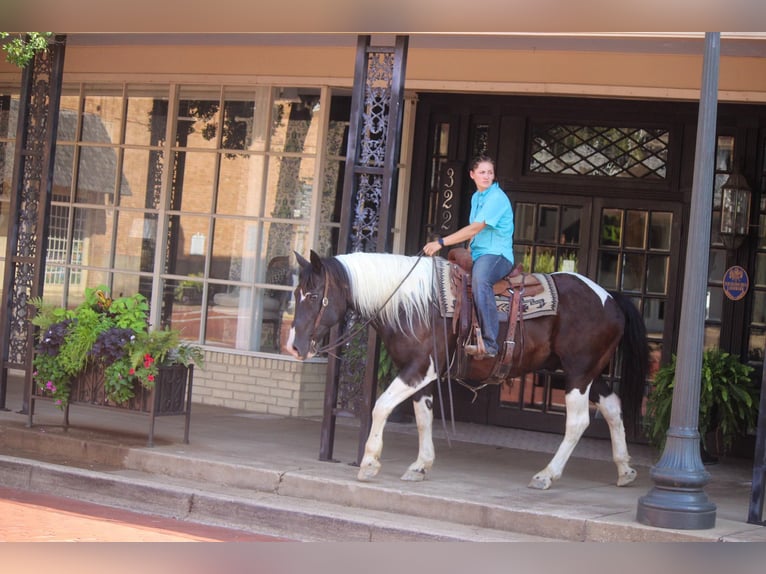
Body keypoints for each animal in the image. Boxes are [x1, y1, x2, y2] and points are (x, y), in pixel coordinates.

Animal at [286, 251, 648, 490]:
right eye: (296, 293)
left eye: (314, 296)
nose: (293, 346)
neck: (411, 303)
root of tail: (609, 297)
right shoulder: (422, 375)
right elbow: (423, 417)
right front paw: (420, 465)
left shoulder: (419, 368)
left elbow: (381, 406)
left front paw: (369, 462)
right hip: (588, 374)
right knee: (613, 408)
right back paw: (624, 469)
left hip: (577, 374)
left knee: (578, 422)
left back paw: (547, 474)